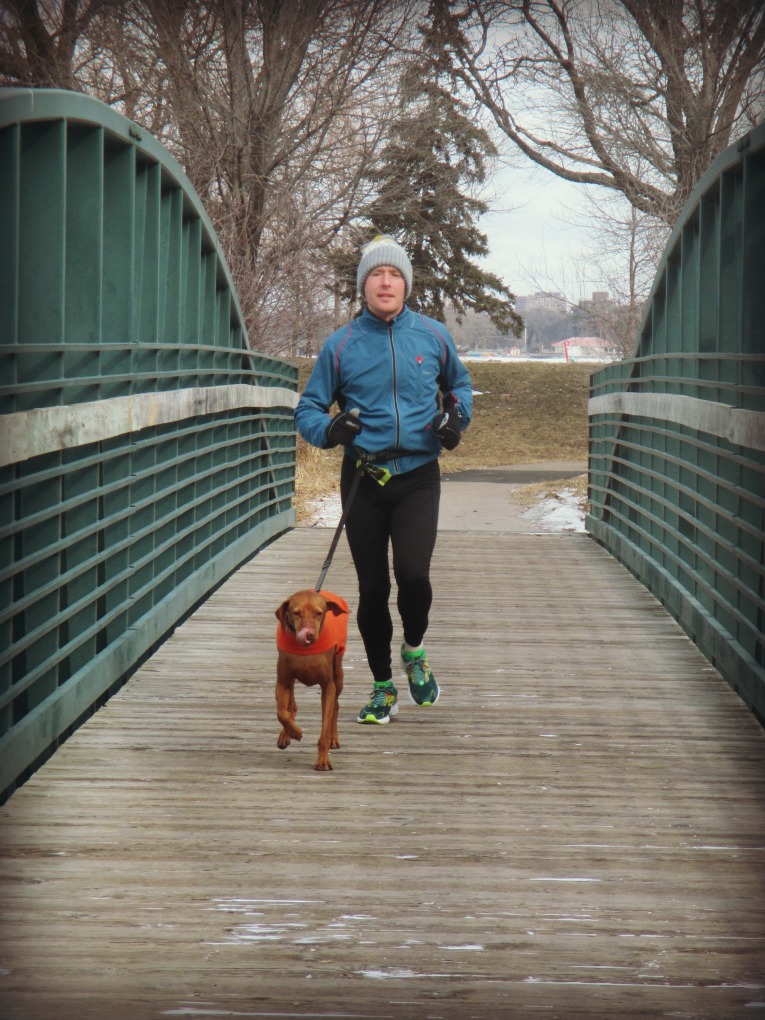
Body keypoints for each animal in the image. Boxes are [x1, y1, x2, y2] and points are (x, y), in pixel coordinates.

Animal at [275, 589, 349, 771]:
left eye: (318, 613)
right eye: (296, 613)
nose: (308, 634)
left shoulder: (328, 686)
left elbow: (325, 727)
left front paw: (323, 760)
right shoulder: (283, 682)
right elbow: (282, 713)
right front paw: (294, 732)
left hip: (338, 676)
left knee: (336, 707)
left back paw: (333, 738)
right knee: (291, 707)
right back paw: (286, 734)